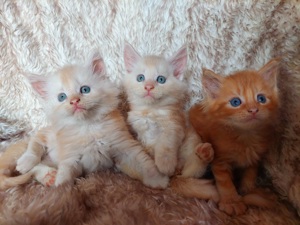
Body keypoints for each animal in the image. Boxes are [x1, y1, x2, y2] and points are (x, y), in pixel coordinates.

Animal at [11, 51, 169, 189]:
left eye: (85, 89)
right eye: (62, 97)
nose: (74, 101)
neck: (88, 127)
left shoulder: (124, 145)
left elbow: (144, 164)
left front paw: (159, 180)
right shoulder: (70, 158)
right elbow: (64, 178)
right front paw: (61, 190)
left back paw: (47, 176)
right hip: (49, 134)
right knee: (36, 142)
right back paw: (26, 164)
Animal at [190, 59, 282, 215]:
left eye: (261, 98)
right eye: (235, 102)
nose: (253, 110)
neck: (245, 136)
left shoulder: (255, 157)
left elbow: (251, 173)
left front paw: (249, 190)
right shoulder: (220, 159)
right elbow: (225, 182)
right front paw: (231, 201)